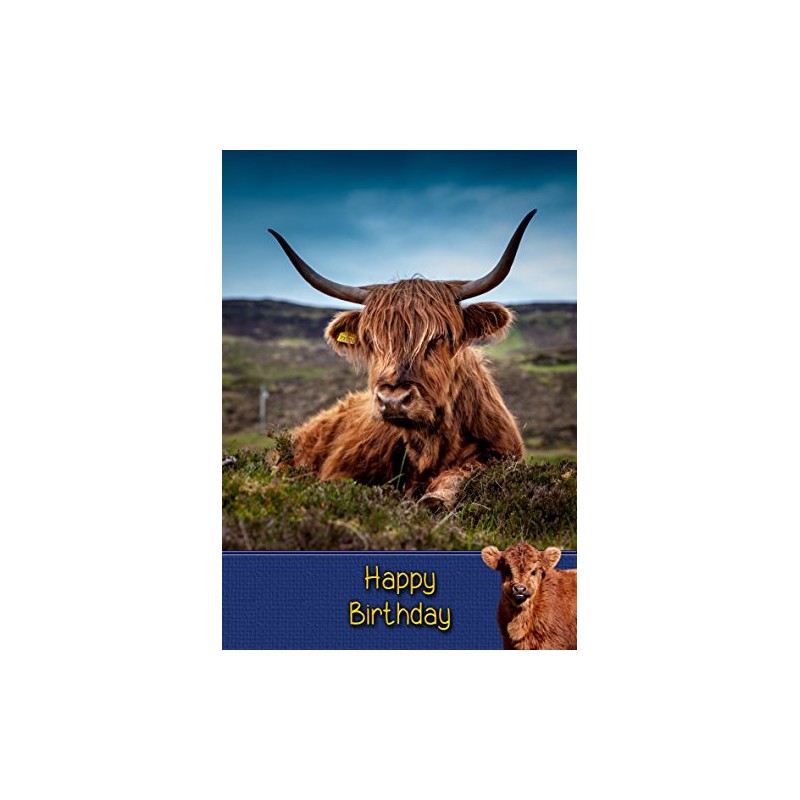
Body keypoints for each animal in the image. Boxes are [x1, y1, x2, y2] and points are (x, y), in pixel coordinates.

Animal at [268, 209, 537, 509]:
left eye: (438, 337)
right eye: (372, 339)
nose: (393, 400)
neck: (431, 446)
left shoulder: (502, 454)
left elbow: (464, 472)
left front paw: (435, 497)